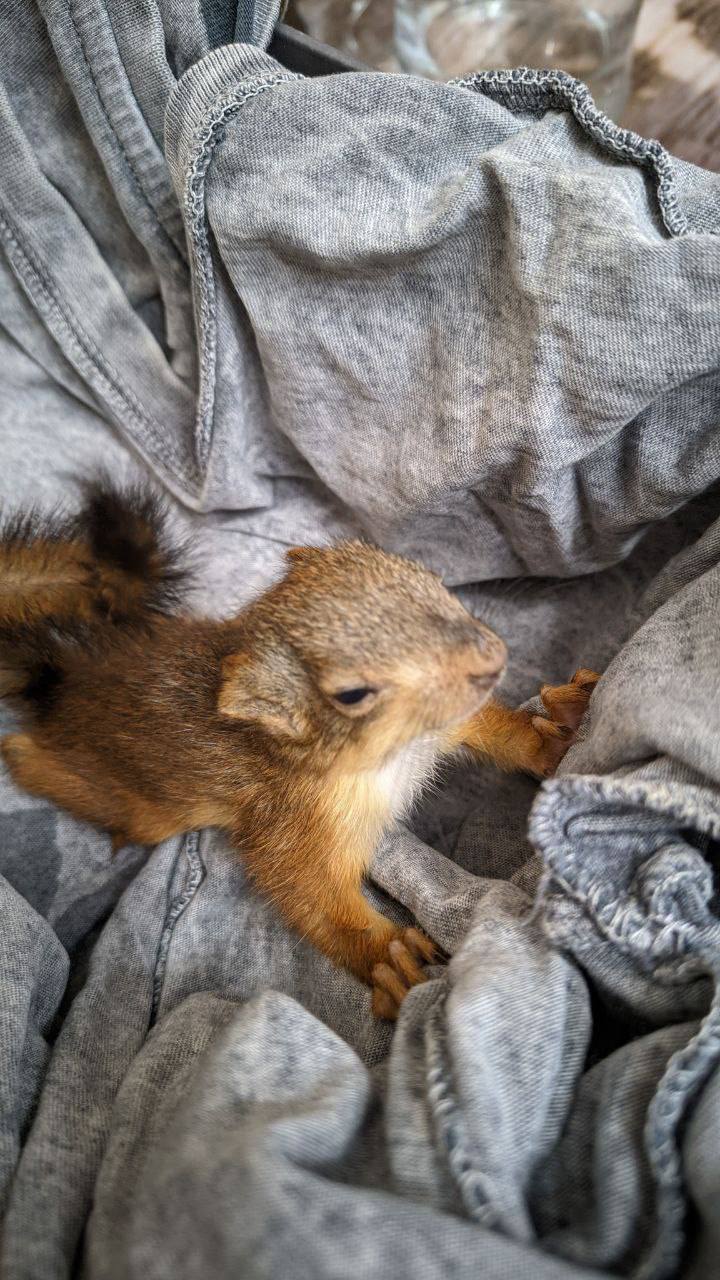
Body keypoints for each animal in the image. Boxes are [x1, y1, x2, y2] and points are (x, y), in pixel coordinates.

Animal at [0, 481, 594, 1018]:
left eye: (429, 577)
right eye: (351, 694)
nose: (492, 656)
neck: (394, 756)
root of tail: (60, 681)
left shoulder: (443, 725)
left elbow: (499, 732)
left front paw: (556, 736)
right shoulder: (289, 822)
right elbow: (311, 894)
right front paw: (390, 955)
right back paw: (22, 752)